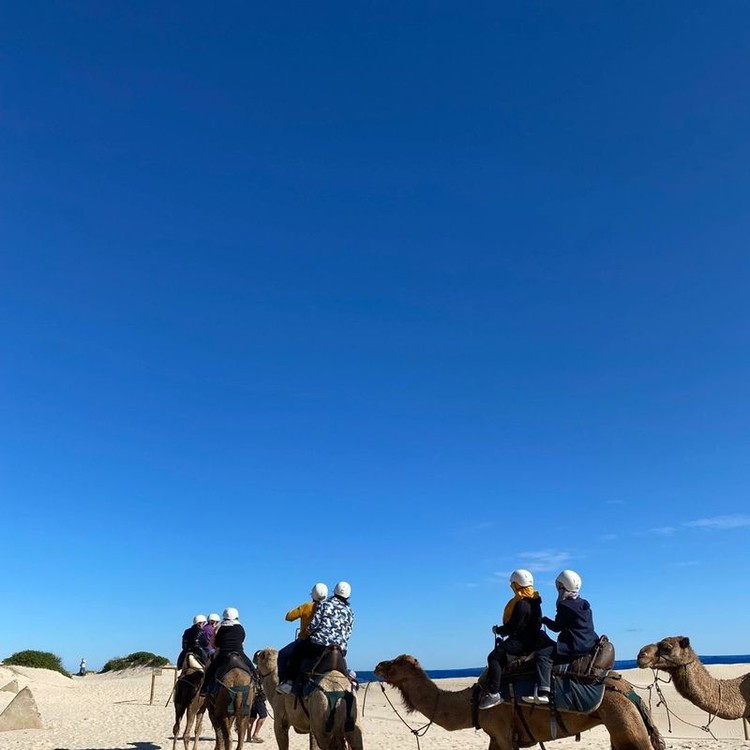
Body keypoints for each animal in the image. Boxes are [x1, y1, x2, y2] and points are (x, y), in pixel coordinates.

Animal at [374, 654, 664, 750]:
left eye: (397, 662)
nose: (377, 666)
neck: (472, 703)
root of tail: (631, 693)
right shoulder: (496, 737)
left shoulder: (503, 732)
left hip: (625, 723)